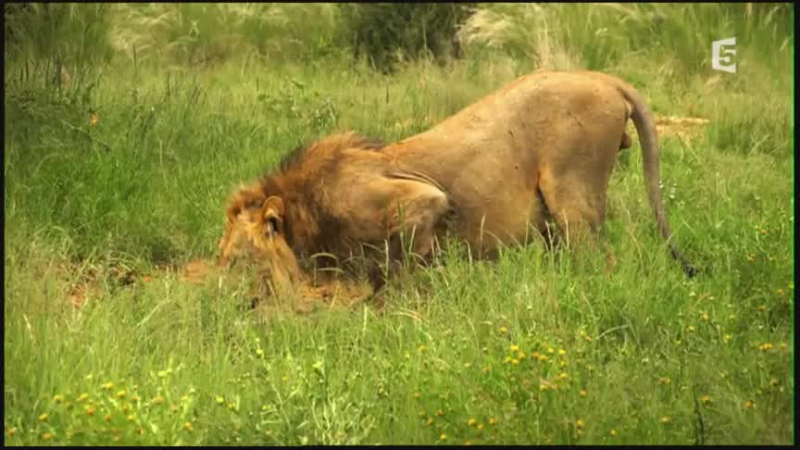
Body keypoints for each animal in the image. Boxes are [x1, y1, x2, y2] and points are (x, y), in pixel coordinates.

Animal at [217, 69, 692, 296]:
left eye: (234, 258)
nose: (221, 296)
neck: (305, 212)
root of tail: (603, 77)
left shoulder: (422, 199)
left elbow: (405, 270)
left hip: (572, 195)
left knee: (600, 261)